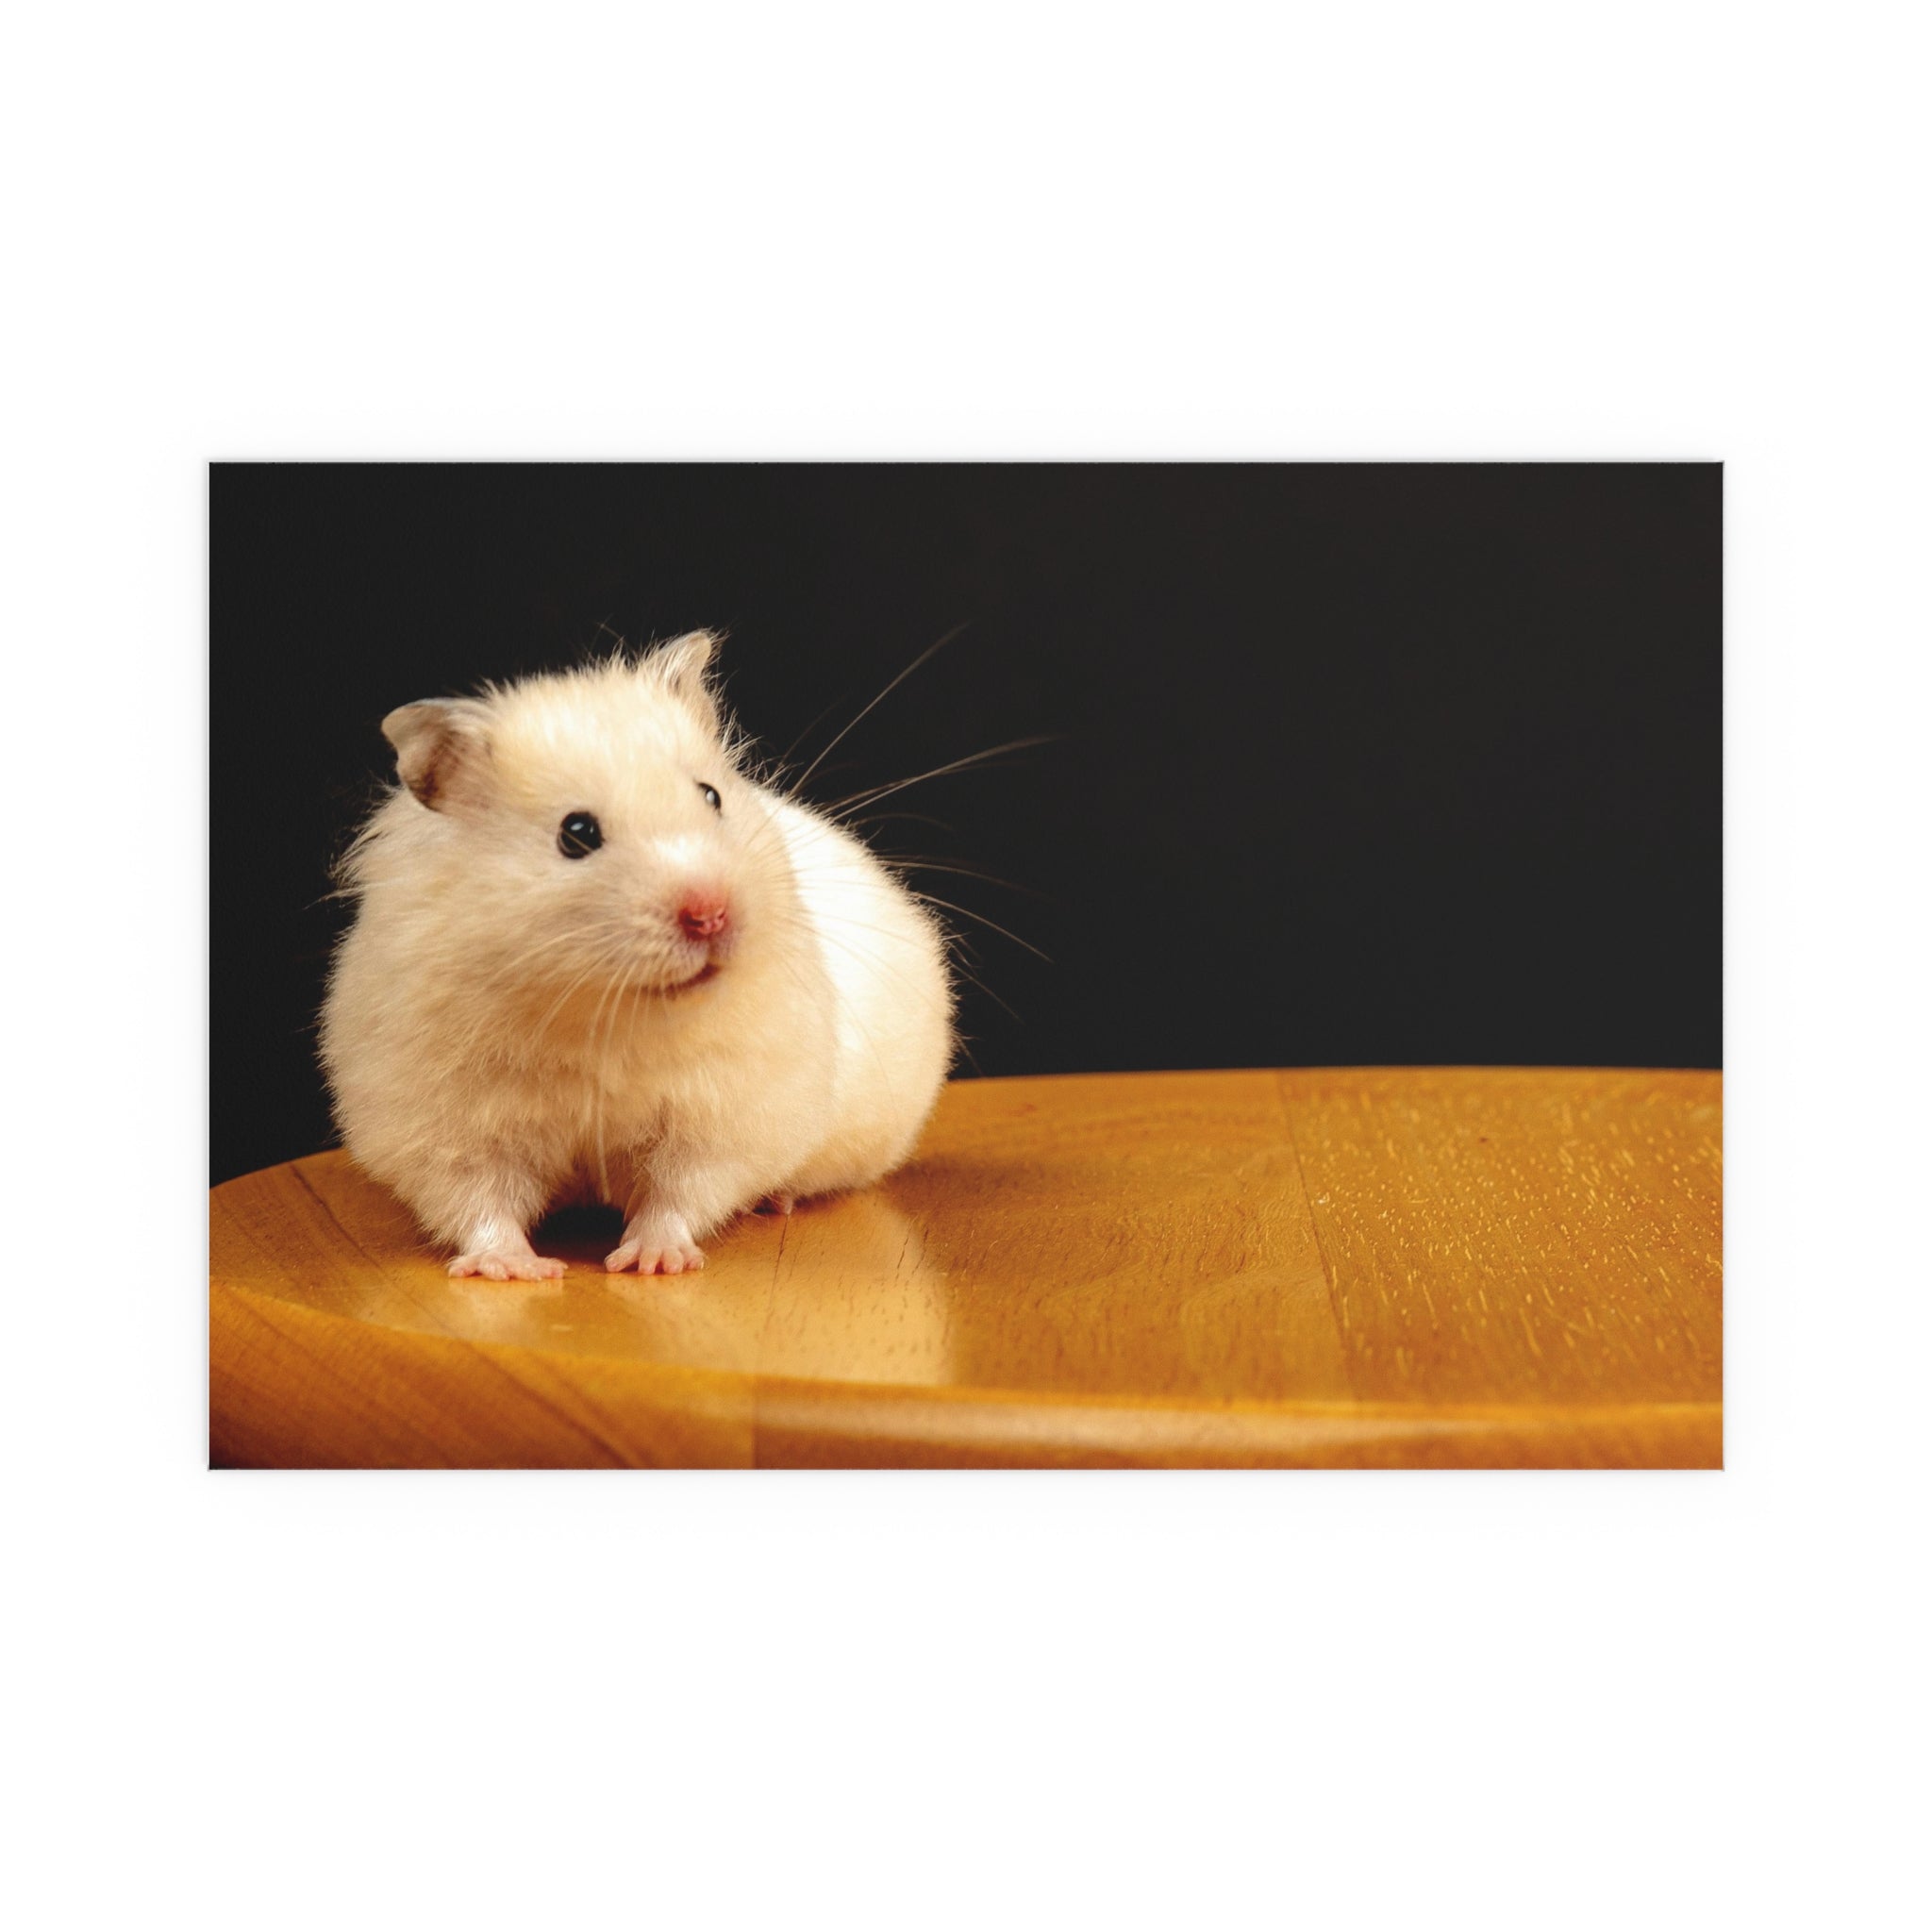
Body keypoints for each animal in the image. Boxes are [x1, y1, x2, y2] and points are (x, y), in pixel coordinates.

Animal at [318, 632, 956, 1280]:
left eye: (711, 796)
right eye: (576, 834)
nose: (711, 914)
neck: (603, 1012)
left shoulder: (721, 1116)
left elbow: (679, 1193)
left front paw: (651, 1261)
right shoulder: (446, 1126)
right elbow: (479, 1201)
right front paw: (517, 1269)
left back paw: (776, 1200)